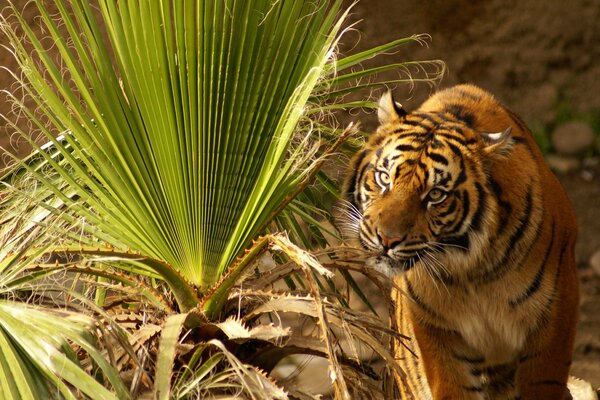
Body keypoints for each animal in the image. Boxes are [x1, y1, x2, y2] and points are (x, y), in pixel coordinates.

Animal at [344, 84, 580, 400]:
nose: (386, 239)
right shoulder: (435, 329)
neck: (470, 271)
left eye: (435, 195)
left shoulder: (554, 315)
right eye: (384, 178)